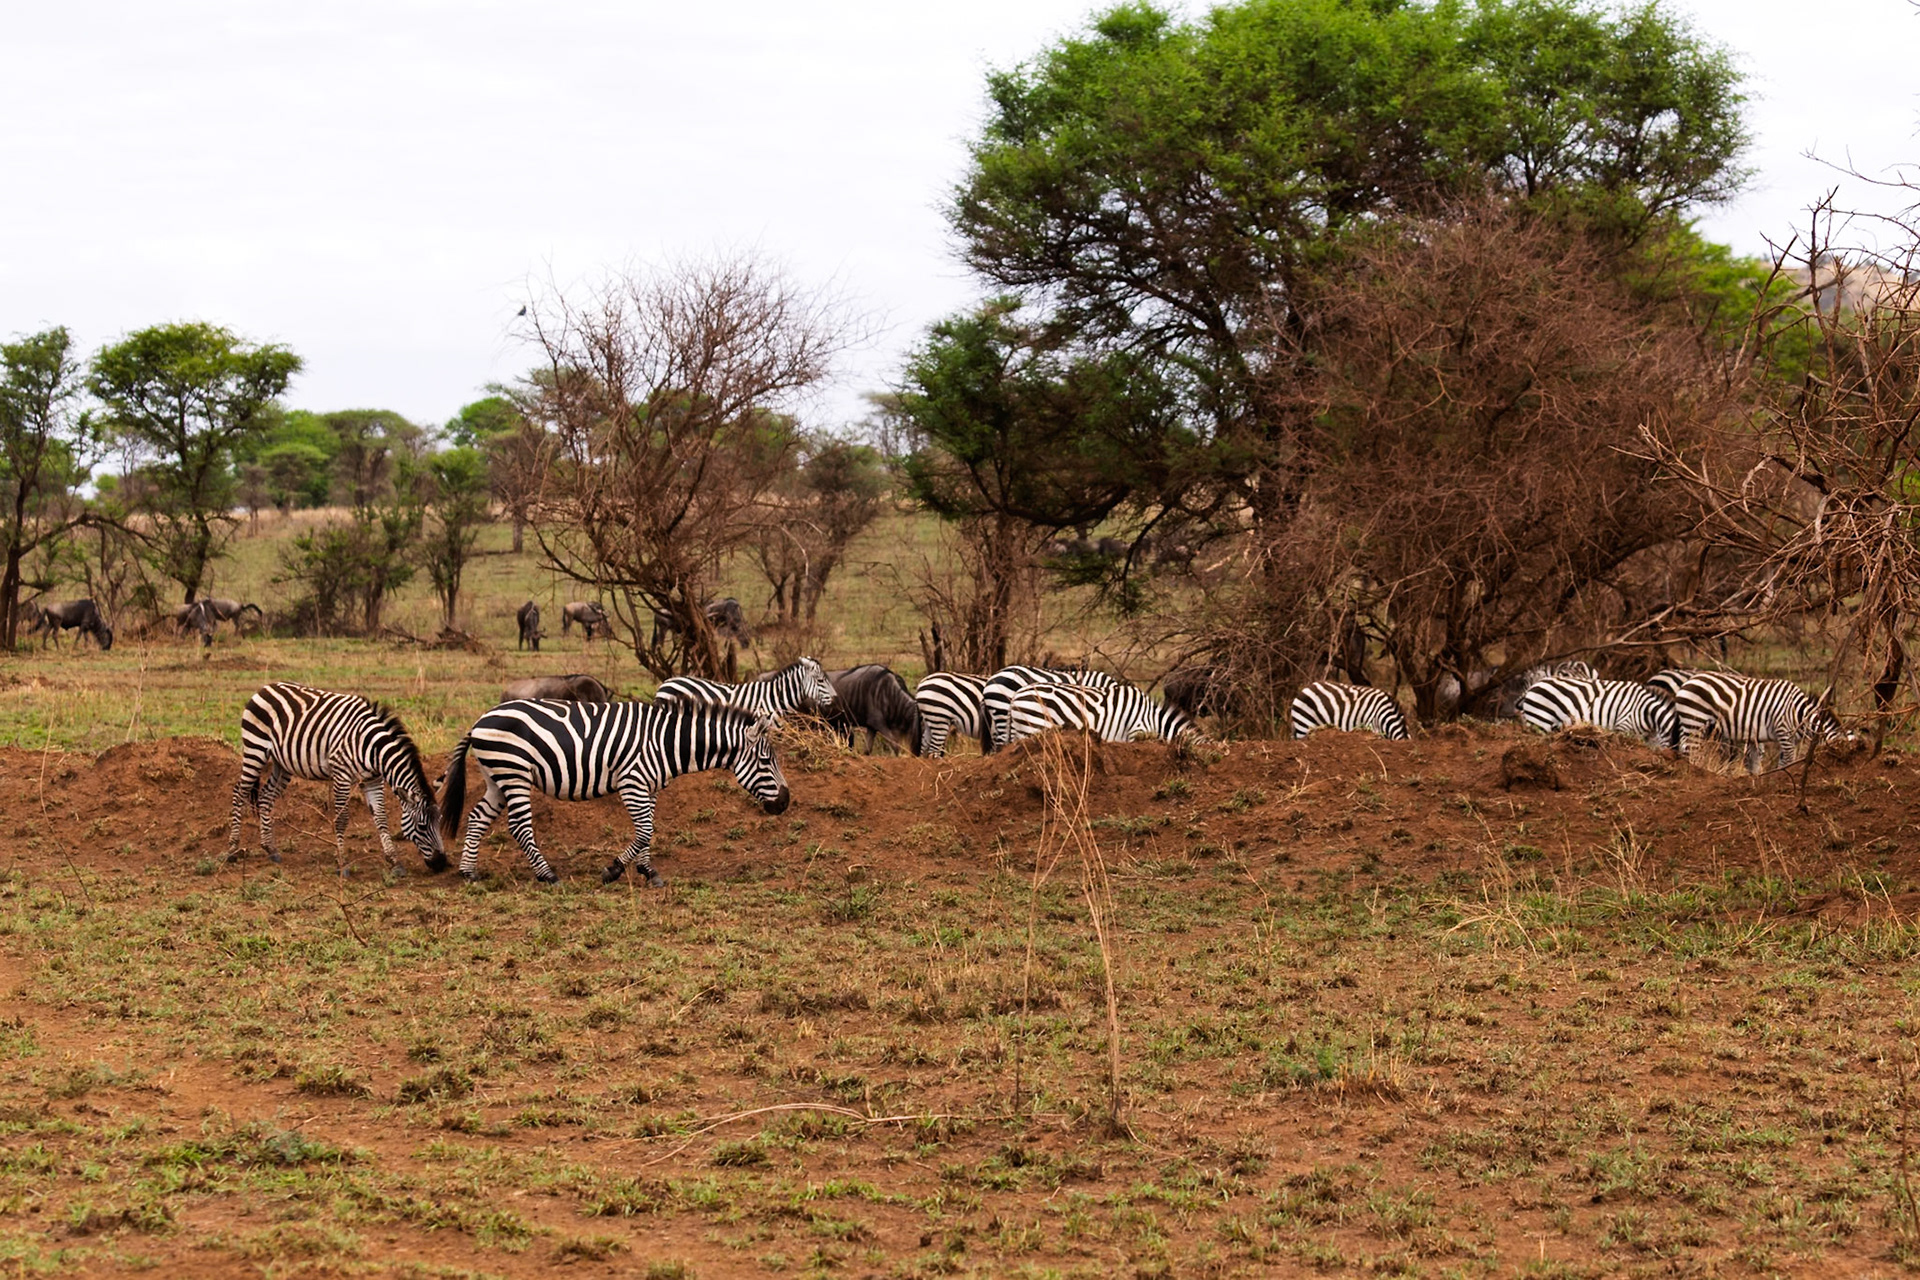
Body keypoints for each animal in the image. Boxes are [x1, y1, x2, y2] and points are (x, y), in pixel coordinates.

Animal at [226, 682, 443, 874]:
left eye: (440, 822)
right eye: (422, 826)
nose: (442, 864)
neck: (373, 747)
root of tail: (265, 687)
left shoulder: (373, 780)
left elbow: (381, 817)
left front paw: (394, 861)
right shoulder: (341, 774)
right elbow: (342, 819)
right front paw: (342, 863)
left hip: (282, 764)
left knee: (265, 797)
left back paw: (270, 849)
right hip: (255, 749)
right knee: (239, 792)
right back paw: (232, 850)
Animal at [437, 699, 789, 885]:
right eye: (765, 761)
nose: (785, 803)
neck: (666, 743)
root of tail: (480, 720)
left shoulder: (649, 787)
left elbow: (648, 831)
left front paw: (648, 871)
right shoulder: (632, 783)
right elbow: (645, 831)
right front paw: (613, 870)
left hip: (497, 777)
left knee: (478, 817)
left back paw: (469, 871)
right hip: (514, 773)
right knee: (519, 826)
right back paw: (547, 875)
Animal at [1674, 673, 1846, 774]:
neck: (1799, 714)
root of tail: (1686, 683)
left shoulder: (1789, 739)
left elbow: (1782, 761)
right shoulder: (1784, 732)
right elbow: (1788, 761)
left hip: (1703, 727)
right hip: (1694, 722)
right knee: (1693, 754)